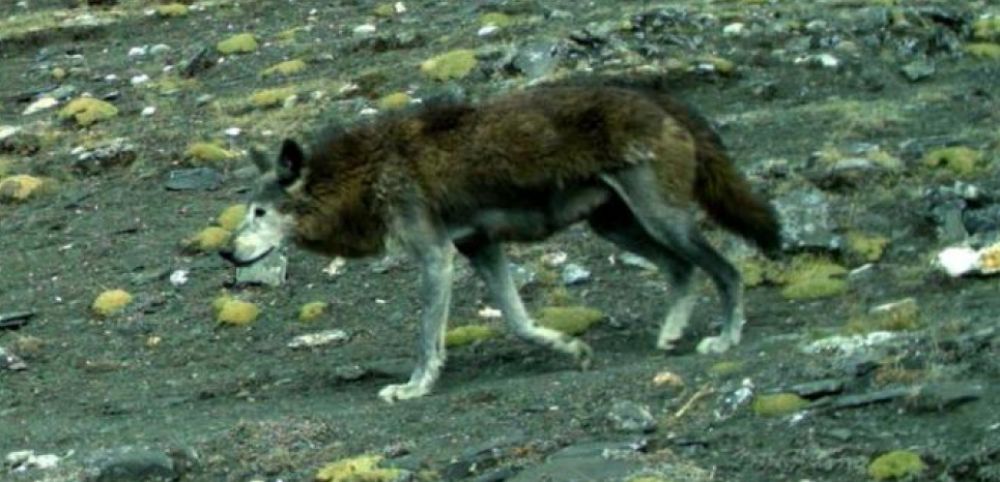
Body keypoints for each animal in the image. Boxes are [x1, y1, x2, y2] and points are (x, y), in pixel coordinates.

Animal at [220, 78, 781, 402]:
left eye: (259, 212)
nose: (226, 251)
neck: (366, 174)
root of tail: (660, 98)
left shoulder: (437, 257)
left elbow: (427, 338)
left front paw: (414, 387)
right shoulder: (479, 248)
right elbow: (517, 321)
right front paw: (571, 348)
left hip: (660, 220)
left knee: (727, 269)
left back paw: (725, 337)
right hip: (617, 225)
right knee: (682, 269)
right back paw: (669, 335)